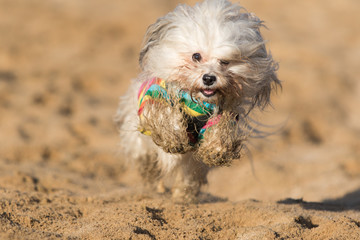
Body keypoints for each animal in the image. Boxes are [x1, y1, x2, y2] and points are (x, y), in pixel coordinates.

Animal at [114, 0, 280, 202]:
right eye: (196, 56)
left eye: (225, 62)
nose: (209, 78)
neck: (197, 102)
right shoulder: (155, 97)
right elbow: (165, 113)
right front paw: (173, 137)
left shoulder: (223, 113)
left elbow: (220, 129)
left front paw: (217, 149)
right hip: (140, 145)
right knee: (149, 167)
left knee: (187, 175)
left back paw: (182, 195)